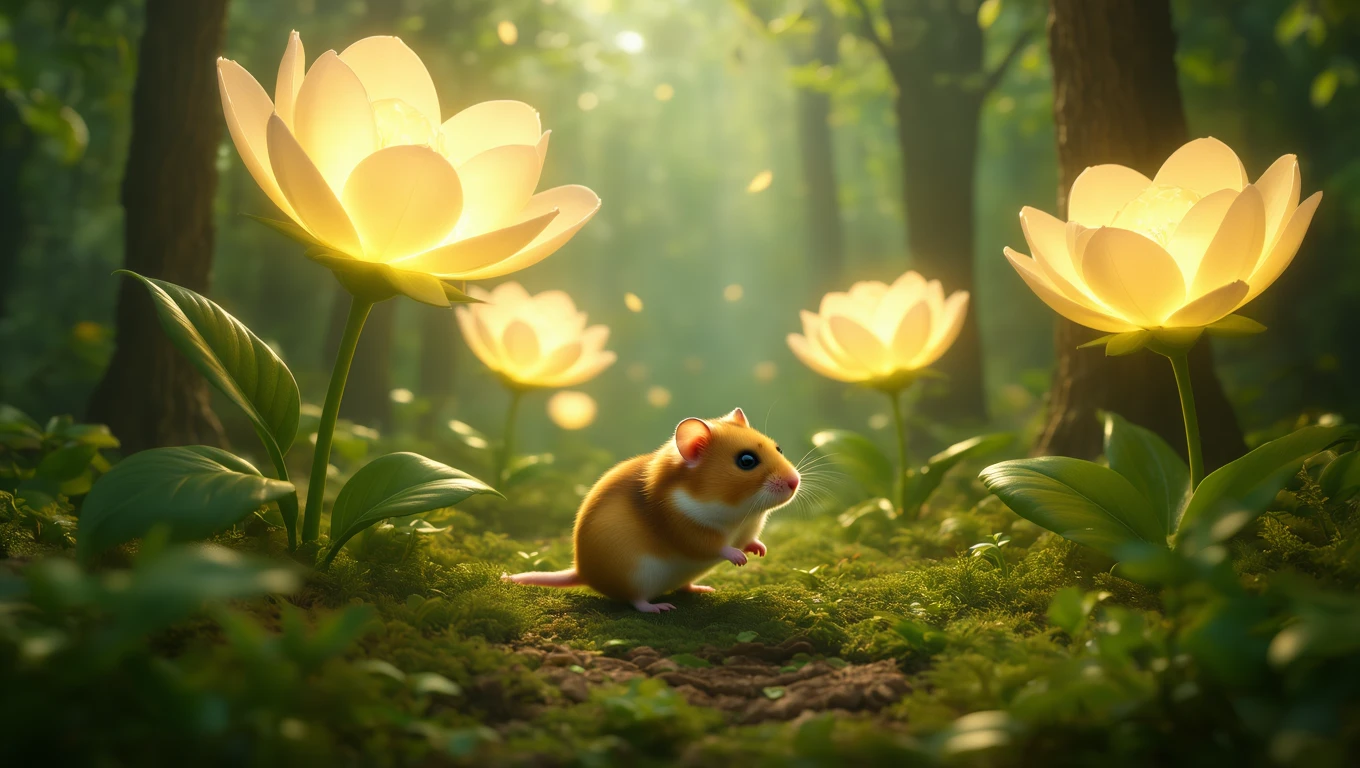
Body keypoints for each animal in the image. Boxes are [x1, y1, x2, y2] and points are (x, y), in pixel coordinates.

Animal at [506, 408, 801, 613]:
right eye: (746, 460)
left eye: (778, 448)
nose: (795, 482)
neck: (740, 511)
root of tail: (582, 572)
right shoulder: (683, 528)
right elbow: (716, 546)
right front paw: (740, 559)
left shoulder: (748, 529)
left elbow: (751, 540)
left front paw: (760, 551)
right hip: (635, 574)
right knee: (635, 601)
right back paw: (659, 607)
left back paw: (702, 588)